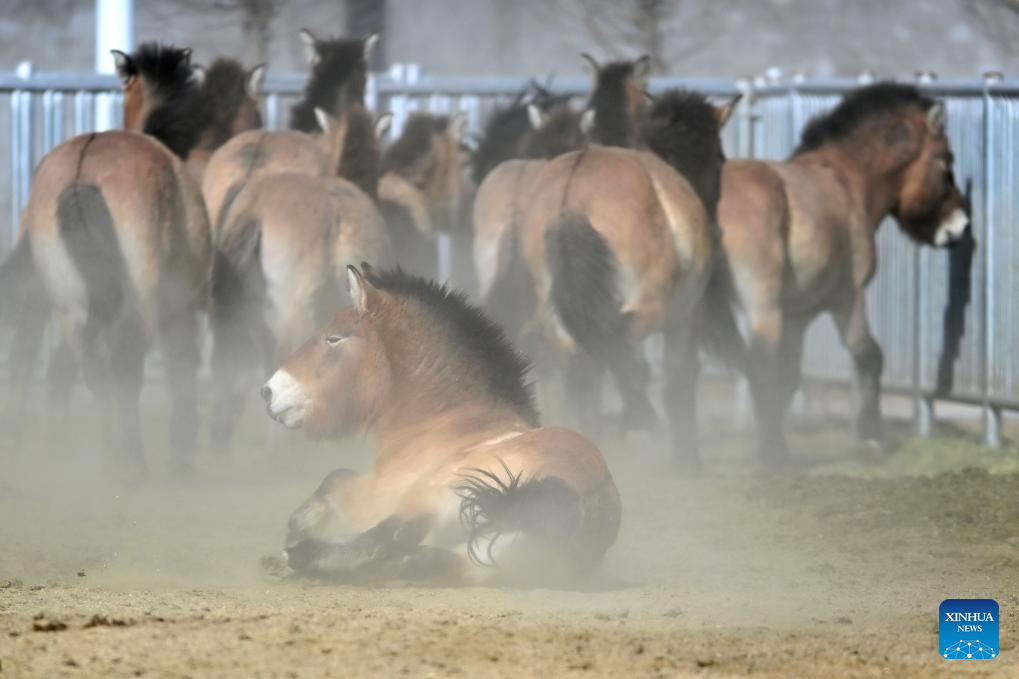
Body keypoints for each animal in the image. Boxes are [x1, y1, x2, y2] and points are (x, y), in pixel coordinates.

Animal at [0, 43, 211, 478]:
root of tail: (82, 173)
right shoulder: (180, 303)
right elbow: (182, 365)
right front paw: (181, 453)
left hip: (71, 302)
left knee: (80, 366)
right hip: (139, 298)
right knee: (123, 365)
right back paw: (131, 464)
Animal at [261, 265, 620, 585]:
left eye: (333, 338)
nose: (269, 391)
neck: (447, 420)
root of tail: (586, 502)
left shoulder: (377, 494)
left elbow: (334, 480)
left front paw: (295, 538)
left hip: (433, 499)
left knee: (389, 539)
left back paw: (302, 556)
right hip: (475, 561)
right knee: (413, 558)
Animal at [517, 90, 739, 465]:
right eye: (720, 158)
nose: (718, 230)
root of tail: (571, 197)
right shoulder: (685, 318)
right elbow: (678, 376)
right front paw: (687, 457)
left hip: (560, 315)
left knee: (585, 369)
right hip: (647, 306)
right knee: (619, 351)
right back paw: (636, 419)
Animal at [716, 82, 968, 461]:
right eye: (946, 160)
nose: (960, 226)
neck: (845, 178)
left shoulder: (797, 316)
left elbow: (789, 376)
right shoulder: (848, 296)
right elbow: (868, 354)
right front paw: (871, 432)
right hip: (761, 306)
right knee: (759, 363)